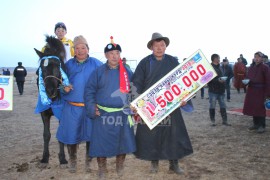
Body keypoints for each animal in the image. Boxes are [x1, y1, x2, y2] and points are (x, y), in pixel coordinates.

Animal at [34, 35, 68, 166]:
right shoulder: (44, 113)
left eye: (59, 66)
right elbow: (46, 135)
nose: (50, 91)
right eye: (41, 69)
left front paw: (62, 158)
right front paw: (45, 157)